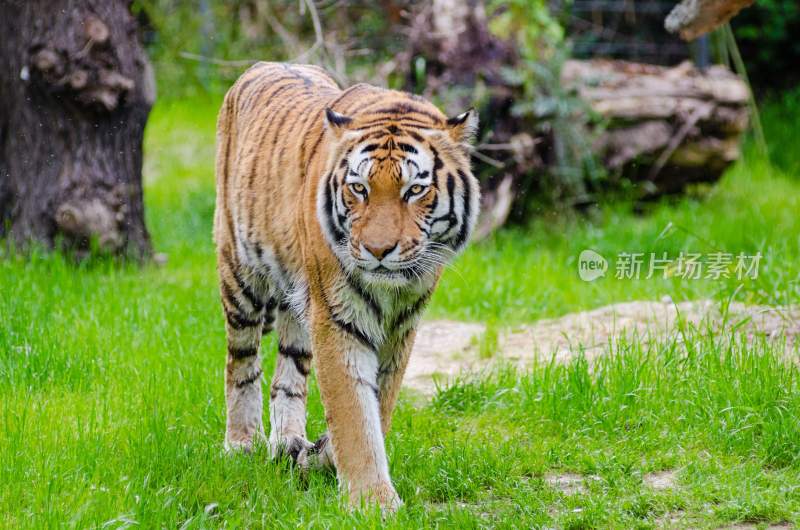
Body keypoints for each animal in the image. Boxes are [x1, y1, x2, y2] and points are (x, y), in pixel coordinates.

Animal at [212, 60, 478, 508]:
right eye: (359, 188)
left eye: (415, 190)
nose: (378, 249)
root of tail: (263, 64)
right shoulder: (338, 318)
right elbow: (354, 411)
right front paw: (373, 503)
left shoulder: (401, 327)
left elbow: (377, 405)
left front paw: (321, 457)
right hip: (241, 275)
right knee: (242, 362)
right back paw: (242, 444)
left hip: (297, 305)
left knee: (288, 375)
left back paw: (288, 443)